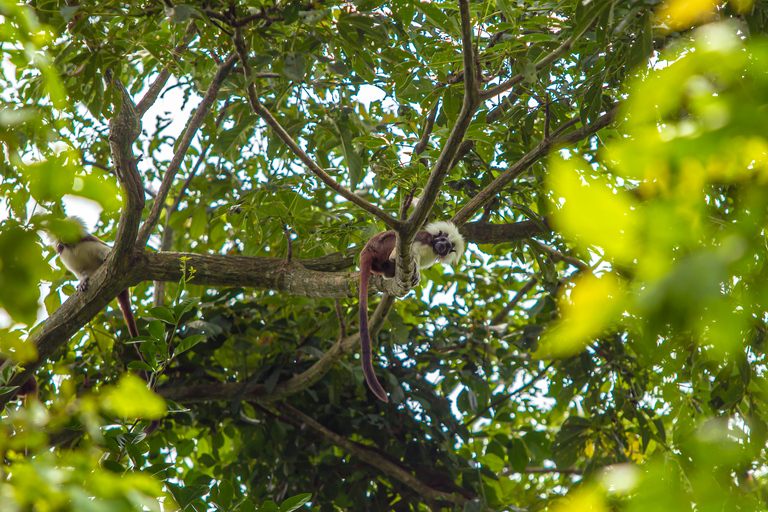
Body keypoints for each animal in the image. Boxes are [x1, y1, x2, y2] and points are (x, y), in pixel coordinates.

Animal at [358, 222, 464, 402]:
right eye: (443, 240)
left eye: (448, 247)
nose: (442, 246)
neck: (432, 246)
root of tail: (367, 250)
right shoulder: (421, 239)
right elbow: (403, 253)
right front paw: (413, 268)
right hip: (383, 246)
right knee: (395, 250)